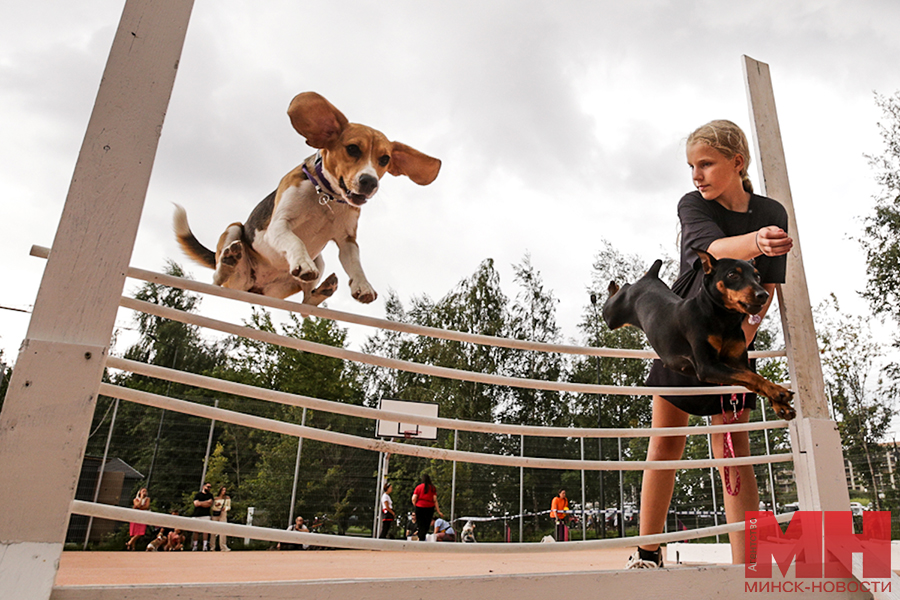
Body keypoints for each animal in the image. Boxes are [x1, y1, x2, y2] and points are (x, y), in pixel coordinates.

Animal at [604, 246, 796, 420]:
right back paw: (613, 286)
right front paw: (779, 391)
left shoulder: (738, 362)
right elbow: (750, 377)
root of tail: (650, 277)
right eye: (732, 275)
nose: (763, 294)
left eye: (758, 276)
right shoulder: (707, 367)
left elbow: (753, 377)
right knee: (617, 295)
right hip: (612, 317)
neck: (722, 319)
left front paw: (781, 405)